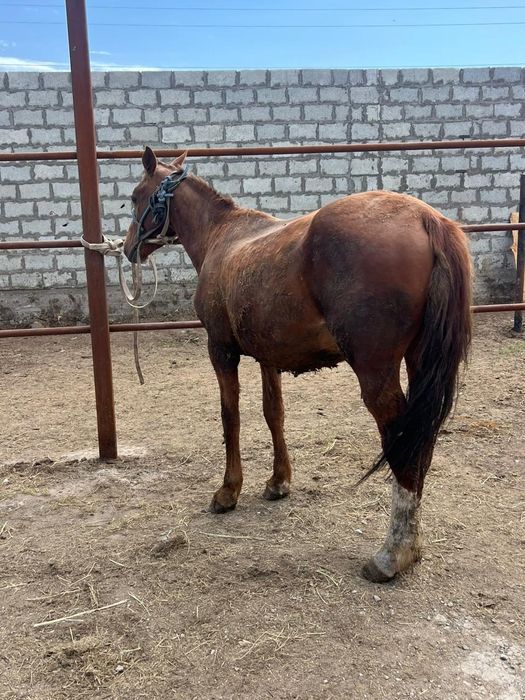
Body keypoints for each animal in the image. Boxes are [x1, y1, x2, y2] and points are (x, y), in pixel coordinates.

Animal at [124, 146, 472, 582]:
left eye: (136, 196)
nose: (128, 247)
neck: (223, 236)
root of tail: (427, 219)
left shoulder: (220, 351)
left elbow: (230, 416)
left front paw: (228, 491)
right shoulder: (267, 358)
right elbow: (274, 413)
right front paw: (278, 481)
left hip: (377, 375)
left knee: (403, 443)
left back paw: (393, 555)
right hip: (419, 363)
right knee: (420, 442)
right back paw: (413, 547)